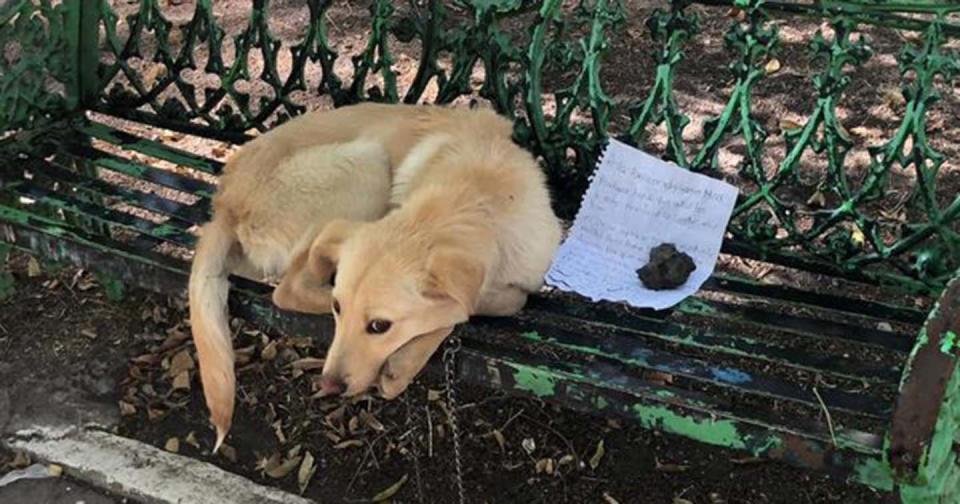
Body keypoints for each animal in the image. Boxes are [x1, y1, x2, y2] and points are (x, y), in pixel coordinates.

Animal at [188, 102, 564, 448]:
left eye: (379, 326)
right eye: (338, 309)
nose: (328, 385)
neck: (476, 194)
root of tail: (224, 202)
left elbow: (492, 301)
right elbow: (474, 307)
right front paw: (407, 360)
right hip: (367, 164)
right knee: (288, 288)